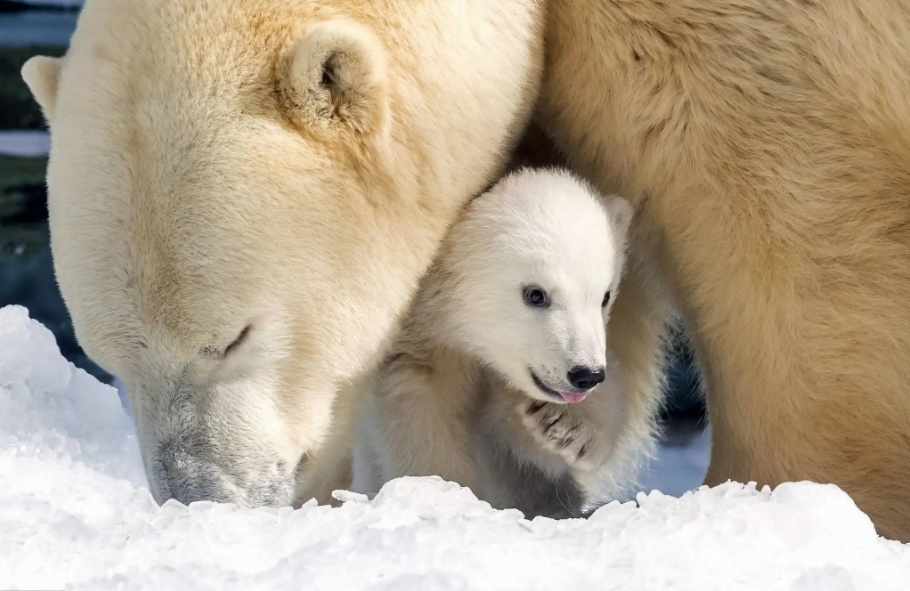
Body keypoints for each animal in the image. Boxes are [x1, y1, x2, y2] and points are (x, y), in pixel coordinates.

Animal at [350, 168, 656, 520]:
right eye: (535, 294)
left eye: (605, 296)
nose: (585, 374)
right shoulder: (423, 355)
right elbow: (421, 424)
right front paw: (442, 492)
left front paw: (565, 427)